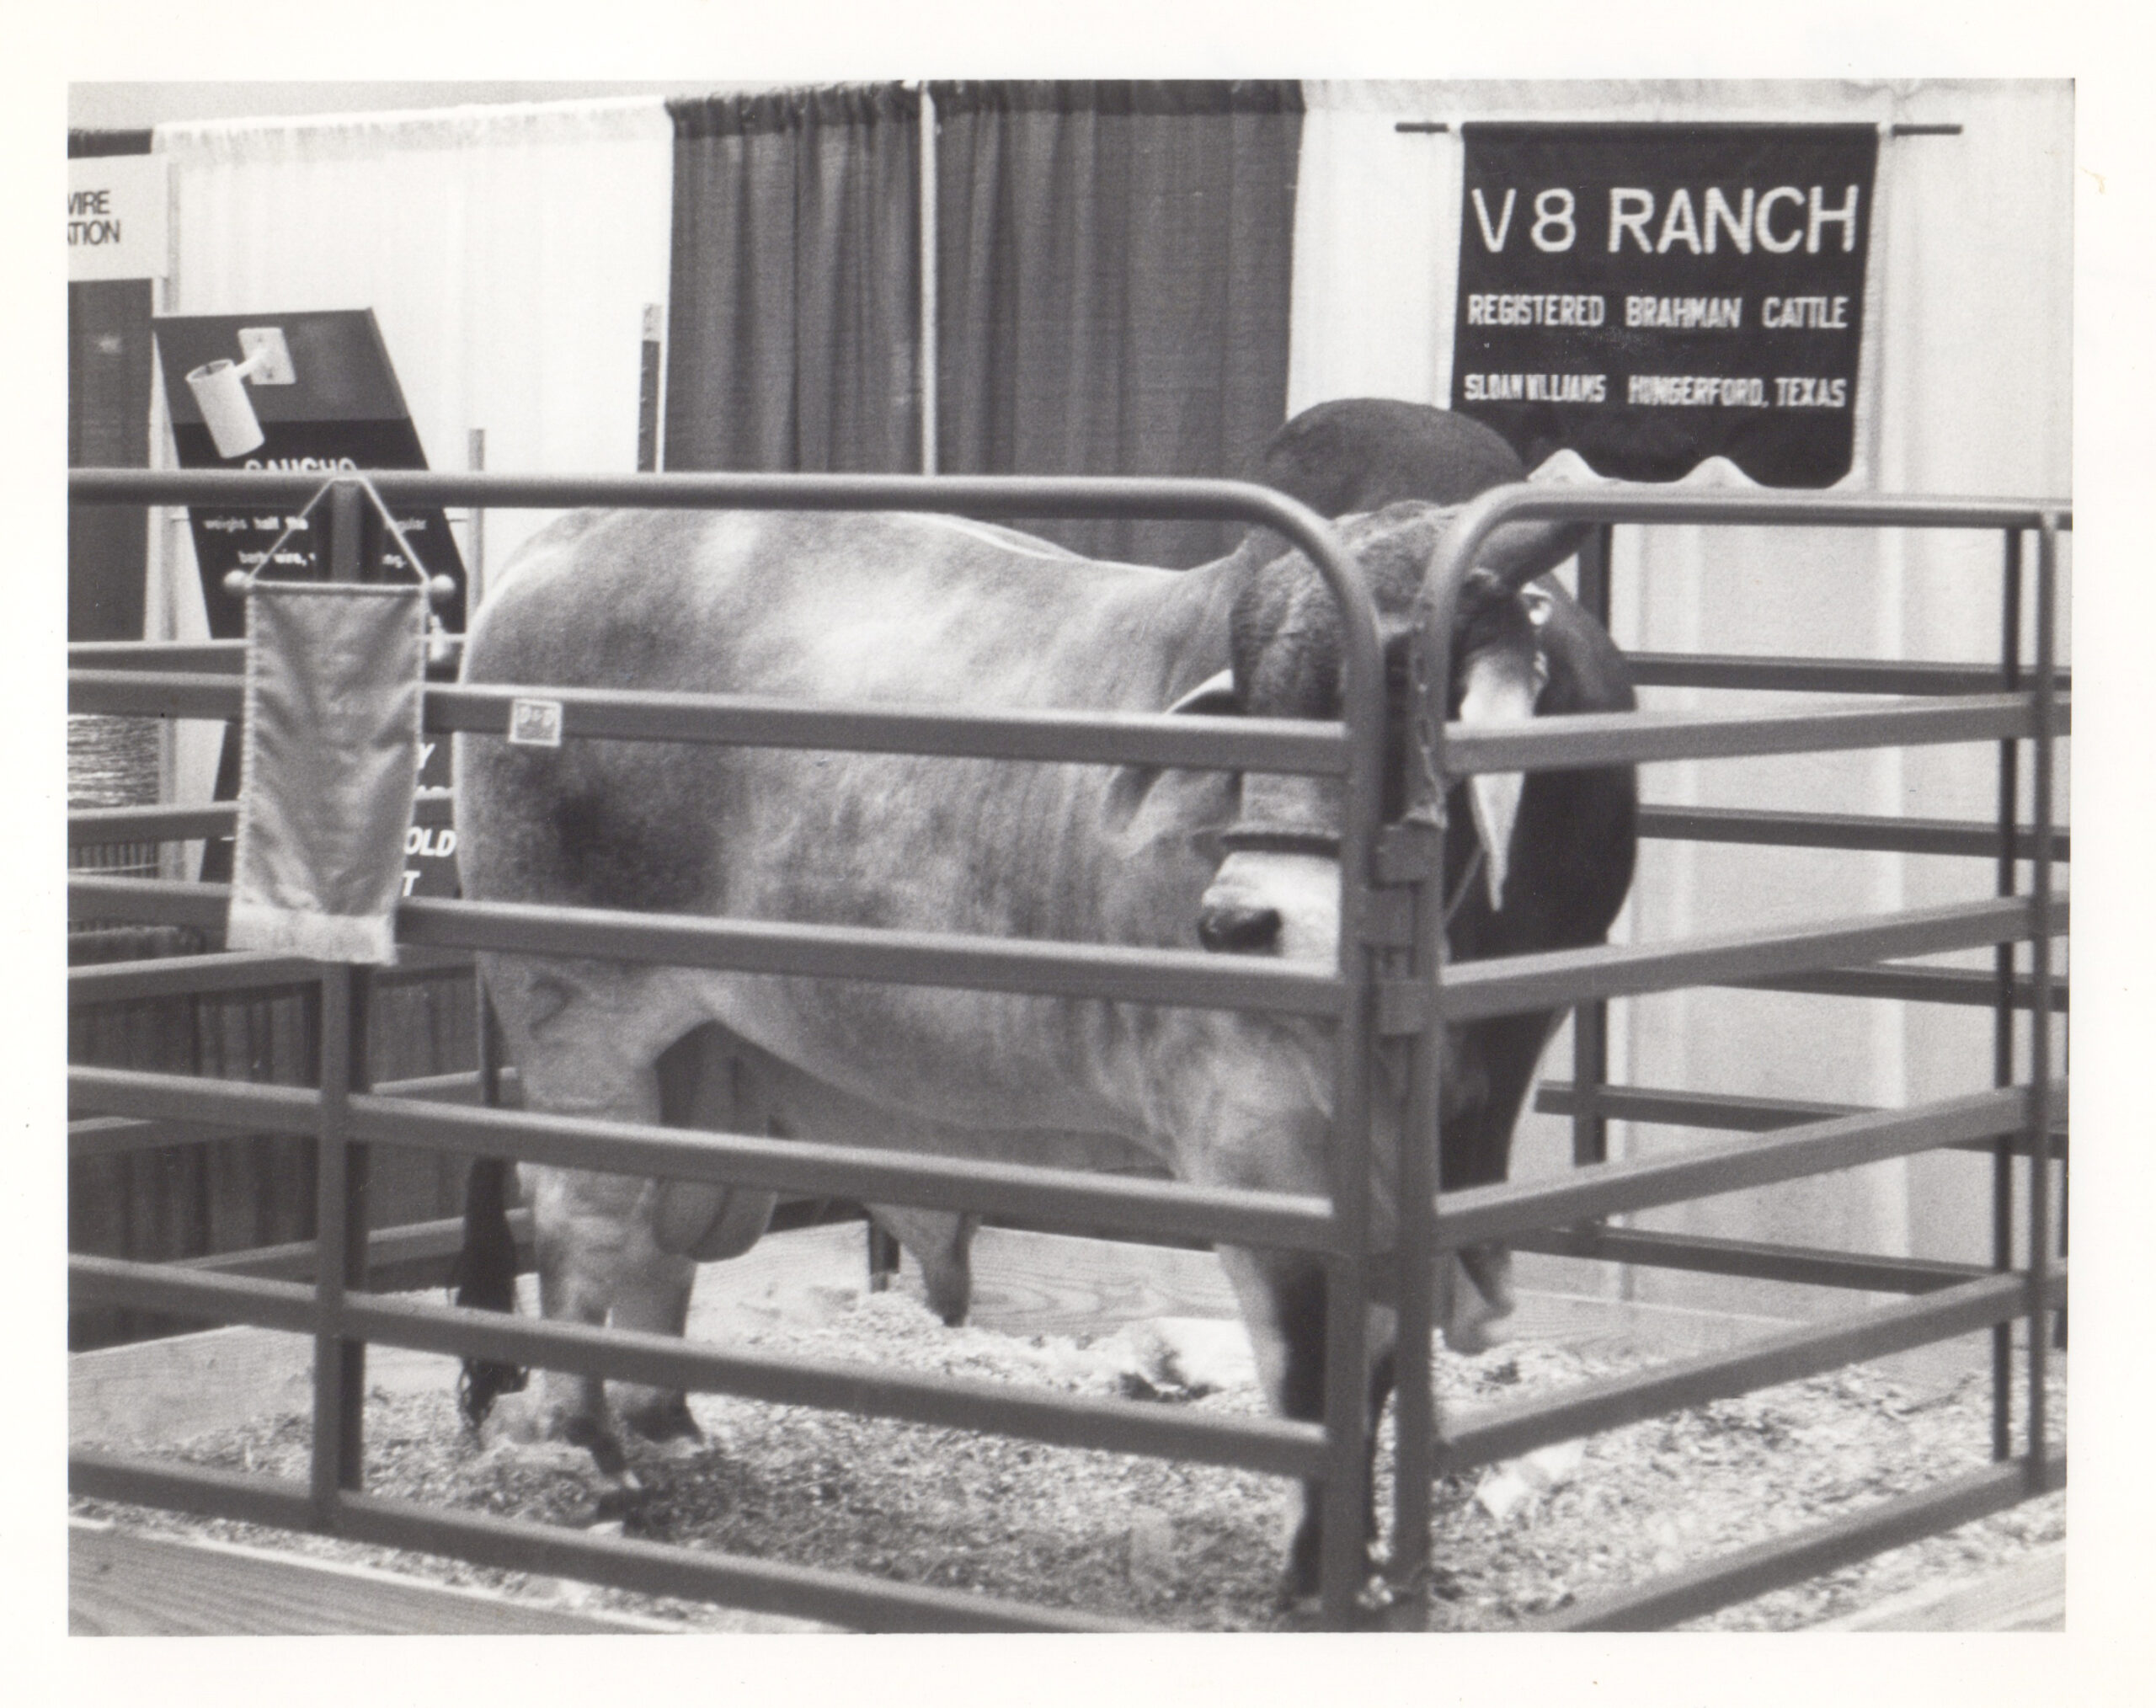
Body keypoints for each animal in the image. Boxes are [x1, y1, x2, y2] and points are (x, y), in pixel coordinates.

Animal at [451, 401, 1630, 1604]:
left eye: (1398, 687)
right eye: (1253, 703)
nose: (1235, 924)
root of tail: (557, 545)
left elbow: (1383, 1363)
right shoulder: (1263, 1142)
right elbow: (1317, 1369)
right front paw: (1314, 1580)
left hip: (700, 1050)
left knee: (661, 1225)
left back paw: (669, 1426)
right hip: (576, 1018)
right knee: (581, 1212)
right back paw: (588, 1449)